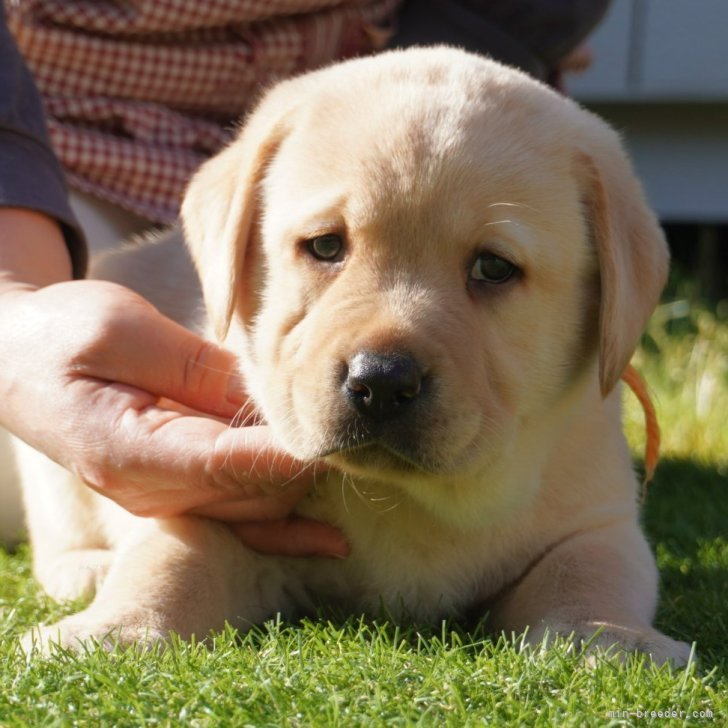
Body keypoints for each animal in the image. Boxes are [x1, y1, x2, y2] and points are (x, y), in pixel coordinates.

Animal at [15, 47, 688, 664]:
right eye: (325, 246)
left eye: (494, 268)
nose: (382, 382)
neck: (406, 499)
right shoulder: (209, 508)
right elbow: (170, 558)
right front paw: (110, 631)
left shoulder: (596, 517)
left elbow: (589, 573)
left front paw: (610, 638)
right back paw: (87, 567)